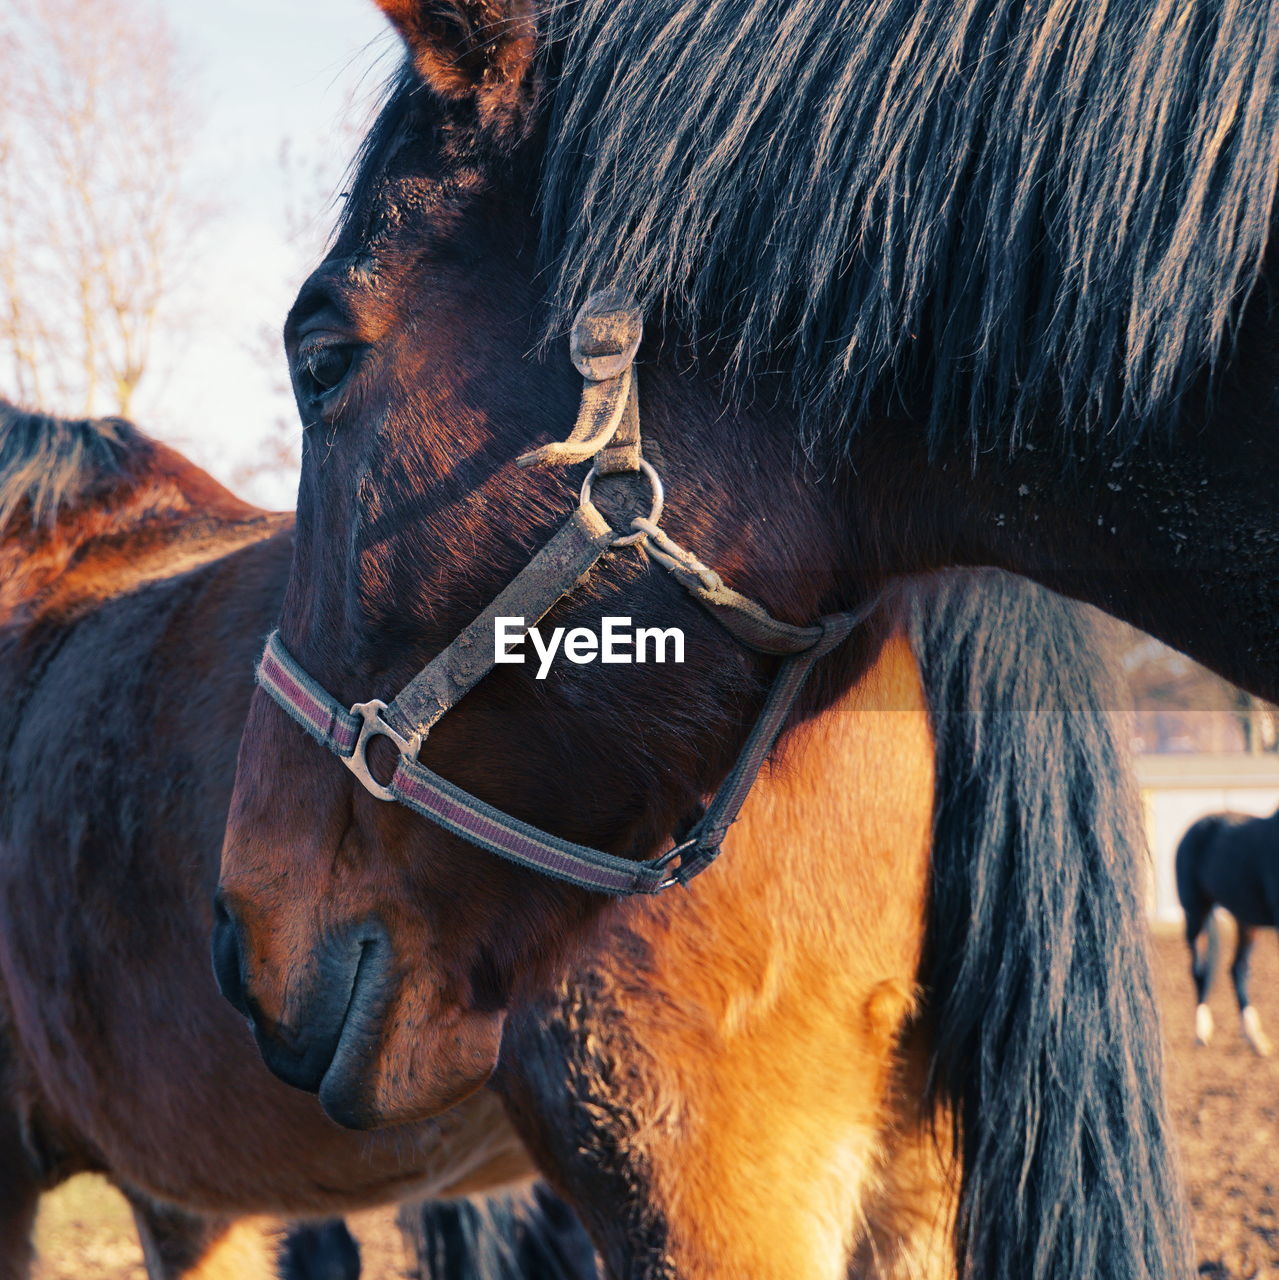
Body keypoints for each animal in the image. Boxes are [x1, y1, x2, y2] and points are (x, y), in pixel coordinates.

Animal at [1177, 808, 1279, 1059]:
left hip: (1246, 921)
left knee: (1237, 969)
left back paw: (1256, 1040)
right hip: (1195, 913)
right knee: (1198, 971)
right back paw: (1202, 1032)